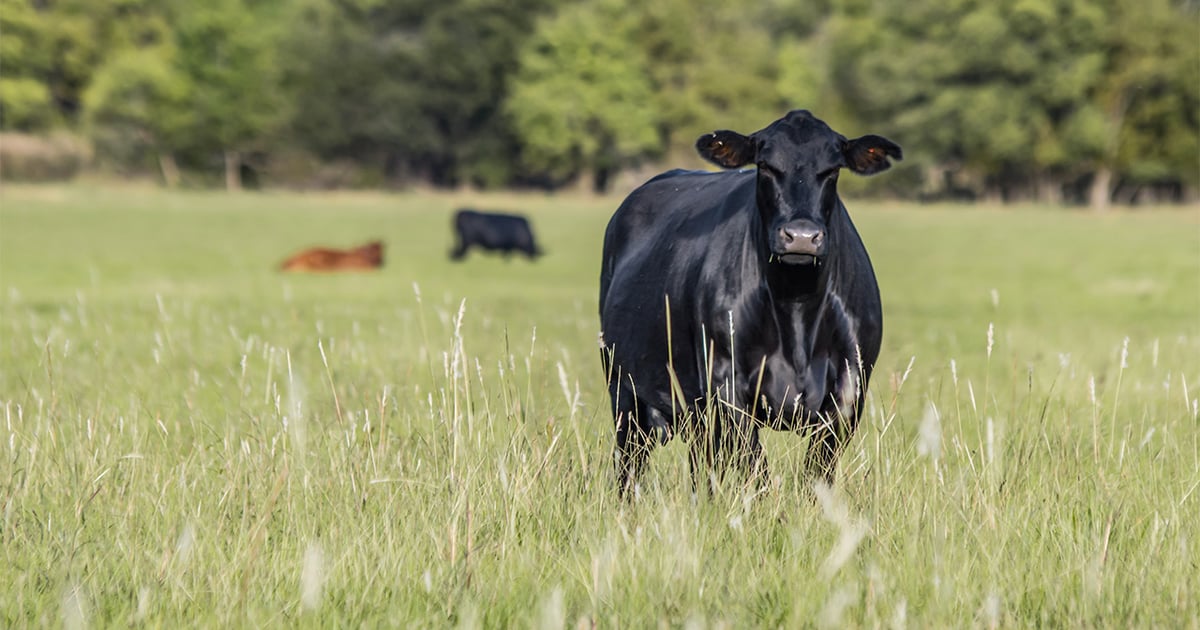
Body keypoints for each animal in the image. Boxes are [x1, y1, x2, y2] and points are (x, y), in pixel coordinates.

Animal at [598, 110, 902, 497]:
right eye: (766, 165)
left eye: (833, 169)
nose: (801, 236)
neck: (796, 304)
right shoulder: (727, 382)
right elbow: (757, 469)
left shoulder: (851, 388)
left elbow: (816, 473)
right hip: (624, 390)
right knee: (630, 464)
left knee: (702, 463)